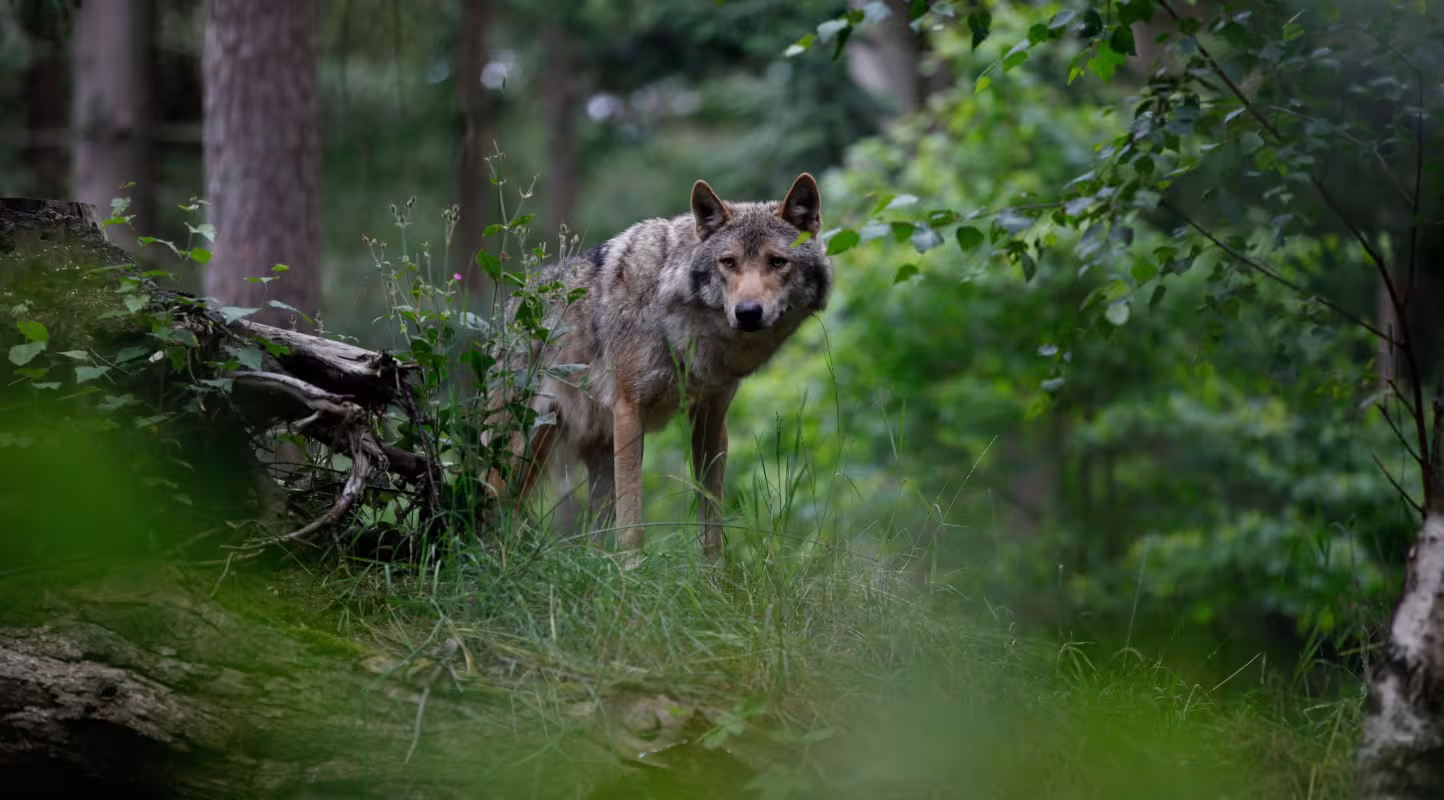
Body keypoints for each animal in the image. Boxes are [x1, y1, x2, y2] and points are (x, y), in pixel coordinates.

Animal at [488, 173, 831, 560]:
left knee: (588, 540)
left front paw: (714, 573)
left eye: (777, 262)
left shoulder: (711, 418)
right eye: (728, 262)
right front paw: (631, 571)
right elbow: (633, 524)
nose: (747, 312)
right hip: (519, 453)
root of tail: (511, 305)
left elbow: (711, 523)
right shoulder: (629, 411)